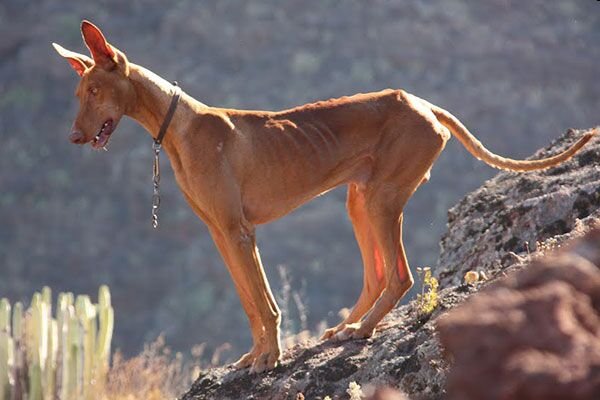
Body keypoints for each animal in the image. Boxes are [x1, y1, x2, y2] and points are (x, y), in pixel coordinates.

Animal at [52, 21, 596, 372]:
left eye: (95, 92)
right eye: (77, 96)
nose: (73, 138)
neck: (180, 126)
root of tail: (424, 103)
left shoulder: (238, 231)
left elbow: (265, 301)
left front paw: (269, 359)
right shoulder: (220, 233)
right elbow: (250, 302)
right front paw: (256, 355)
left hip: (382, 198)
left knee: (399, 275)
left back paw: (362, 331)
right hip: (358, 199)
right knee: (376, 275)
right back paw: (346, 328)